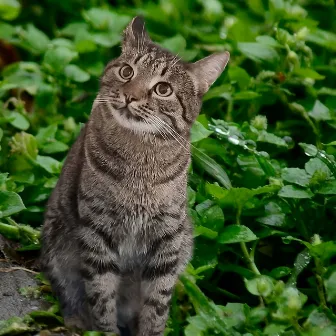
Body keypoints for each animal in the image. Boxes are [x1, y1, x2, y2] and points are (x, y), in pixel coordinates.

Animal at [38, 14, 228, 334]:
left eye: (163, 89)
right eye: (127, 72)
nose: (130, 96)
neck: (140, 161)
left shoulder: (168, 237)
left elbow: (157, 303)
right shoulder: (97, 228)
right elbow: (101, 295)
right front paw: (104, 328)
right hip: (56, 244)